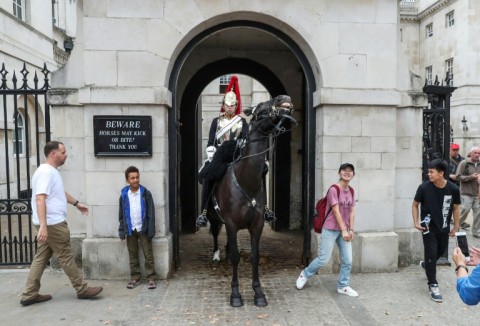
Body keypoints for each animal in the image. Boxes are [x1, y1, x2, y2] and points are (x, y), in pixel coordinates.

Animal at [207, 93, 294, 306]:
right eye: (261, 106)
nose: (284, 97)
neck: (246, 180)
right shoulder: (231, 223)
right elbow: (236, 257)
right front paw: (235, 294)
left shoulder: (257, 225)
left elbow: (254, 256)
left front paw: (258, 293)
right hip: (214, 217)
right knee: (215, 233)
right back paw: (216, 255)